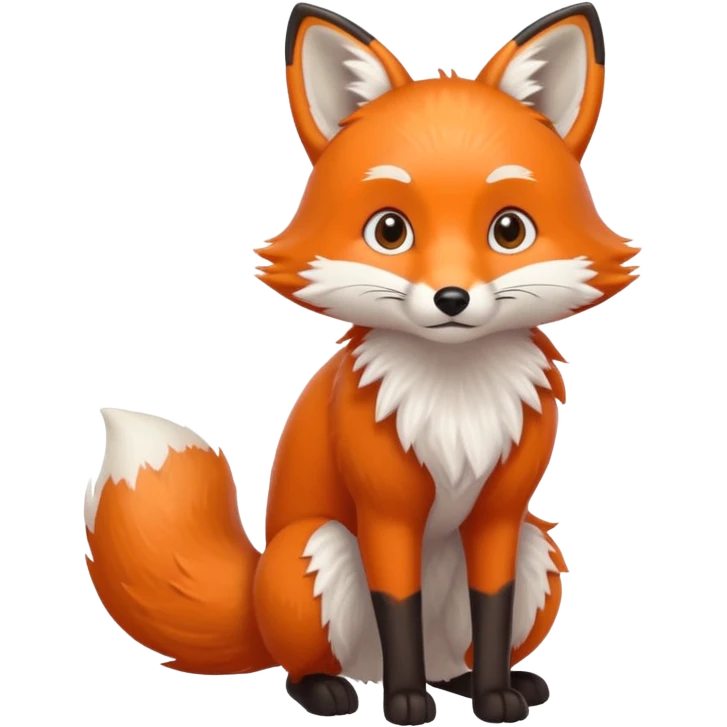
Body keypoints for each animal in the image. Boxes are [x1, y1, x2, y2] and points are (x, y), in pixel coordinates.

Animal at [84, 3, 639, 725]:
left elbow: (490, 609)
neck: (455, 400)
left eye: (509, 230)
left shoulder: (500, 515)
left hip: (538, 545)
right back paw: (334, 689)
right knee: (306, 662)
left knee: (454, 659)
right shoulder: (385, 510)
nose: (452, 298)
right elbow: (395, 604)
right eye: (390, 230)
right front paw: (404, 703)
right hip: (314, 550)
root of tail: (254, 596)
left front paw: (494, 695)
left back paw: (480, 683)